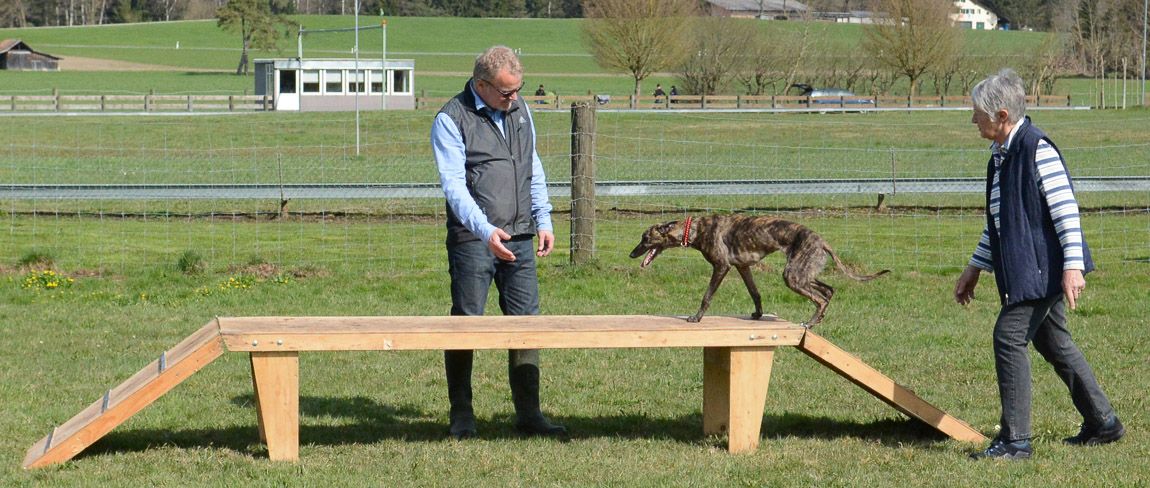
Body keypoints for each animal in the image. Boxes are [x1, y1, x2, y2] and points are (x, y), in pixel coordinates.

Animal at [629, 214, 889, 327]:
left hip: (793, 276)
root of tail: (822, 241)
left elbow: (707, 296)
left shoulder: (721, 267)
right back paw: (819, 319)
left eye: (645, 238)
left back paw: (811, 322)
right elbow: (755, 293)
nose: (631, 254)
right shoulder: (743, 267)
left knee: (821, 298)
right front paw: (758, 314)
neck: (694, 229)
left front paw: (696, 317)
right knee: (829, 290)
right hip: (804, 273)